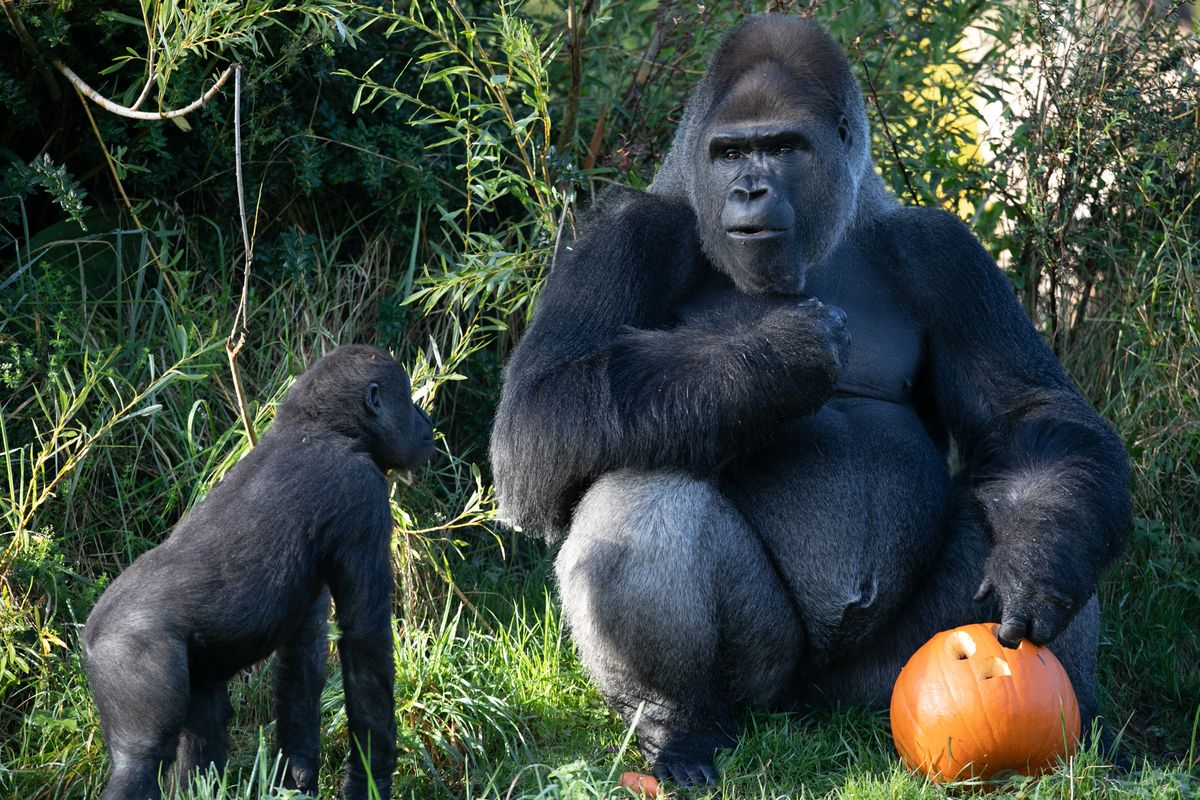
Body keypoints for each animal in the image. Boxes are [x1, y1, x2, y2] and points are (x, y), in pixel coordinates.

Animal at [82, 347, 434, 800]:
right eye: (407, 399)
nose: (424, 420)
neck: (321, 427)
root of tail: (90, 639)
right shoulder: (362, 492)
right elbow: (365, 641)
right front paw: (369, 779)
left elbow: (305, 647)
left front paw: (297, 774)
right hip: (126, 651)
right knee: (140, 759)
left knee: (203, 719)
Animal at [492, 14, 1128, 786]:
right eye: (731, 152)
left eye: (783, 148)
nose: (749, 190)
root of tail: (817, 712)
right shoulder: (624, 235)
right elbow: (537, 417)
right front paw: (776, 356)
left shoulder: (944, 251)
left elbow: (1030, 420)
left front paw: (1042, 562)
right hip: (768, 684)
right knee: (639, 485)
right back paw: (678, 728)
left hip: (882, 683)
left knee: (1042, 498)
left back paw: (1077, 739)